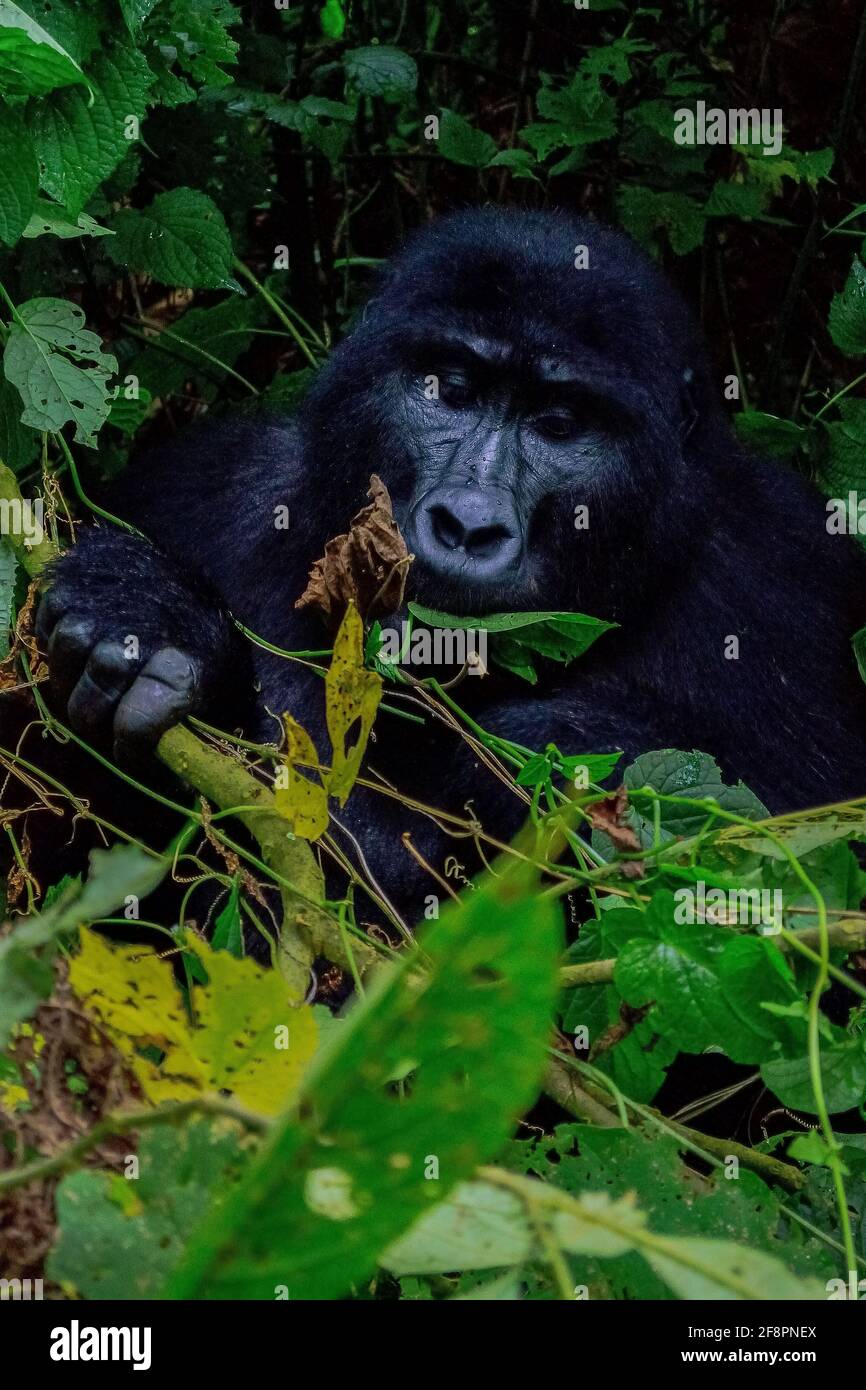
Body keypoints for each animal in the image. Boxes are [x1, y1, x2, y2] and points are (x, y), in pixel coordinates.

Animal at [30, 208, 866, 934]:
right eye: (451, 390)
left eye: (559, 424)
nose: (467, 525)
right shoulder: (196, 490)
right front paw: (150, 617)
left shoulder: (786, 577)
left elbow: (808, 858)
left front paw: (544, 753)